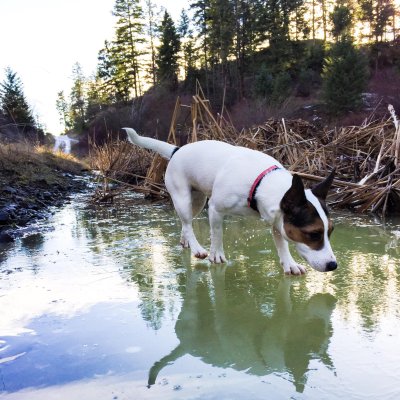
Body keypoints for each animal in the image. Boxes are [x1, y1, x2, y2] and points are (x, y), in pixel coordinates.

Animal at [123, 128, 336, 276]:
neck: (261, 182)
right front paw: (216, 254)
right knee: (187, 222)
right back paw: (197, 248)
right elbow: (217, 232)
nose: (333, 265)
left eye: (330, 231)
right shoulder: (215, 209)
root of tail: (177, 150)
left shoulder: (278, 220)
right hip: (183, 198)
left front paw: (289, 264)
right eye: (313, 234)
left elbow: (281, 243)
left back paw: (186, 241)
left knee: (186, 224)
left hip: (197, 200)